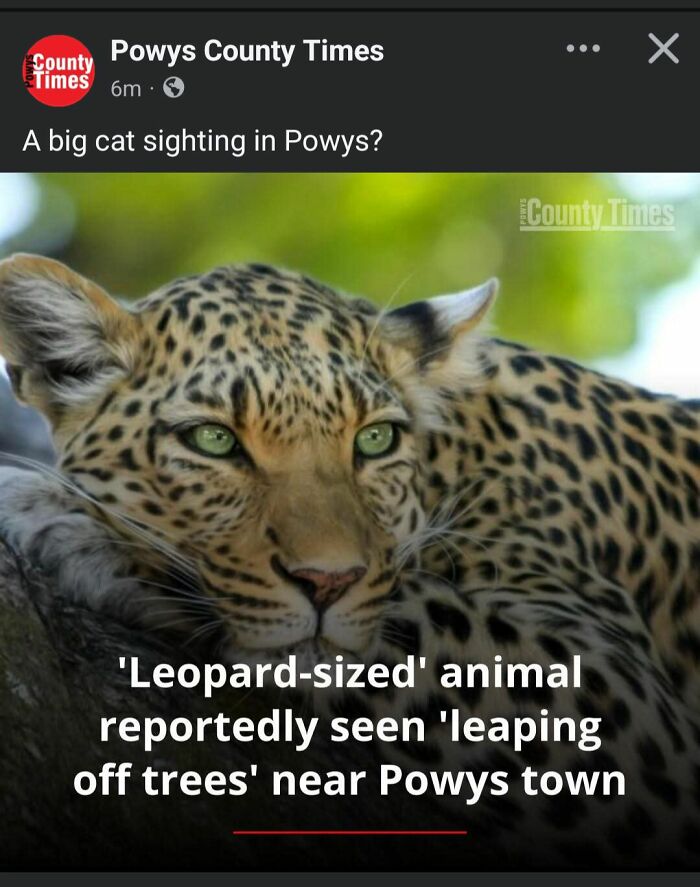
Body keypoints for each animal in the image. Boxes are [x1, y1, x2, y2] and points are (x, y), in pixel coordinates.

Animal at [0, 253, 699, 868]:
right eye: (214, 440)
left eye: (375, 439)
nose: (327, 581)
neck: (456, 460)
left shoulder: (622, 702)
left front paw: (72, 524)